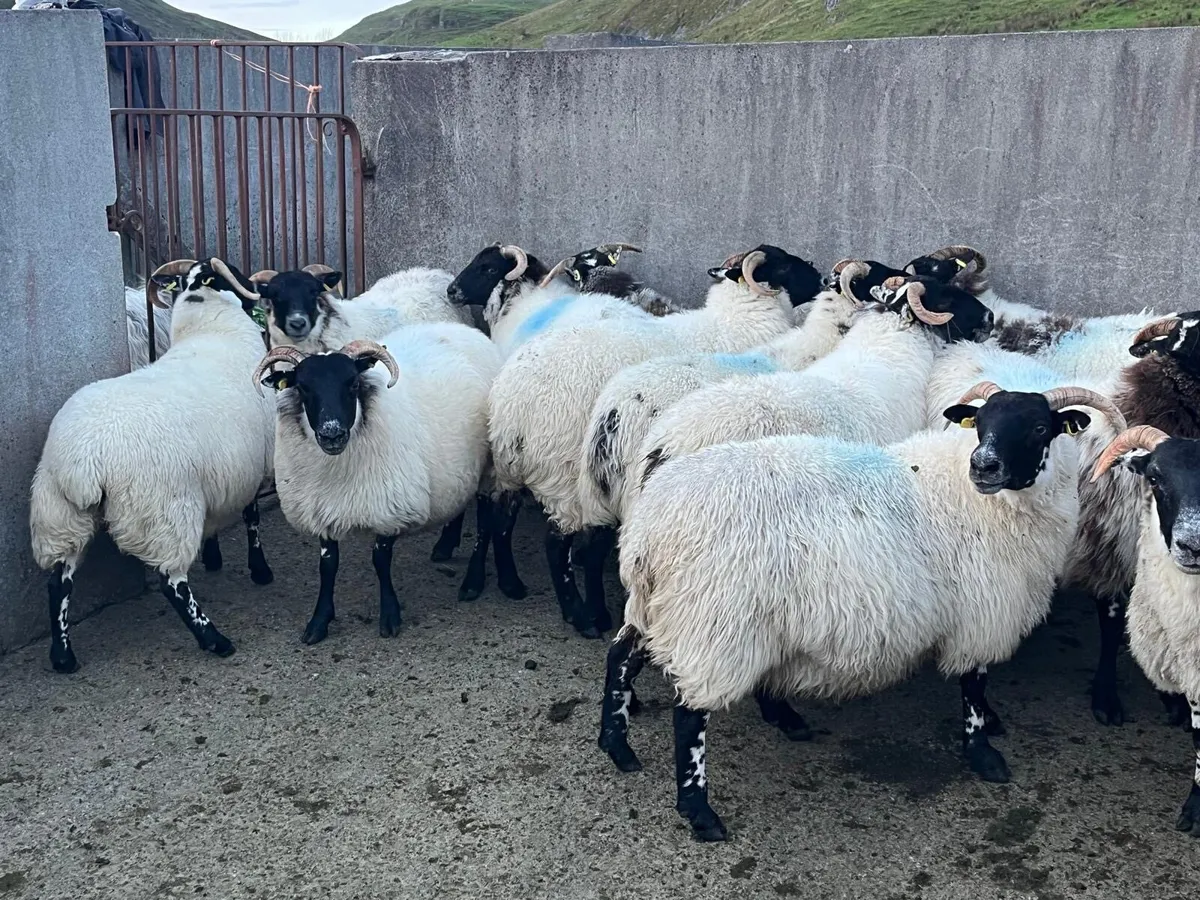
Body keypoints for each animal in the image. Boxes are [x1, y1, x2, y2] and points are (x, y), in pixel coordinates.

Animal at [30, 257, 277, 673]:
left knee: (58, 582)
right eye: (236, 275)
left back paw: (63, 657)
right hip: (162, 512)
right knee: (172, 583)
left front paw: (214, 557)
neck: (210, 328)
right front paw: (259, 571)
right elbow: (252, 516)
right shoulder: (251, 465)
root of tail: (85, 459)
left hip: (60, 514)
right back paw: (215, 639)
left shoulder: (216, 473)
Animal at [253, 323, 503, 644]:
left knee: (485, 522)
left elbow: (380, 562)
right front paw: (319, 621)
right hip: (458, 466)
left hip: (489, 465)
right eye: (303, 387)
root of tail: (464, 329)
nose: (332, 434)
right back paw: (445, 545)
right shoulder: (322, 510)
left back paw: (472, 582)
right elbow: (328, 566)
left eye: (352, 384)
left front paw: (390, 616)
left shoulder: (389, 509)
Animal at [488, 245, 825, 639]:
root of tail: (509, 402)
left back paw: (511, 584)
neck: (731, 323)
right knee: (559, 543)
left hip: (516, 467)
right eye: (784, 265)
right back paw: (582, 617)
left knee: (502, 516)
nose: (821, 278)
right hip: (562, 472)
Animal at [599, 381, 1123, 841]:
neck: (980, 499)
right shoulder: (981, 613)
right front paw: (984, 754)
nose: (984, 466)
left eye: (1038, 427)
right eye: (980, 424)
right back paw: (700, 813)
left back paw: (617, 746)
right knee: (689, 716)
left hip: (666, 608)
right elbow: (974, 686)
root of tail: (652, 529)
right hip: (715, 622)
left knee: (621, 656)